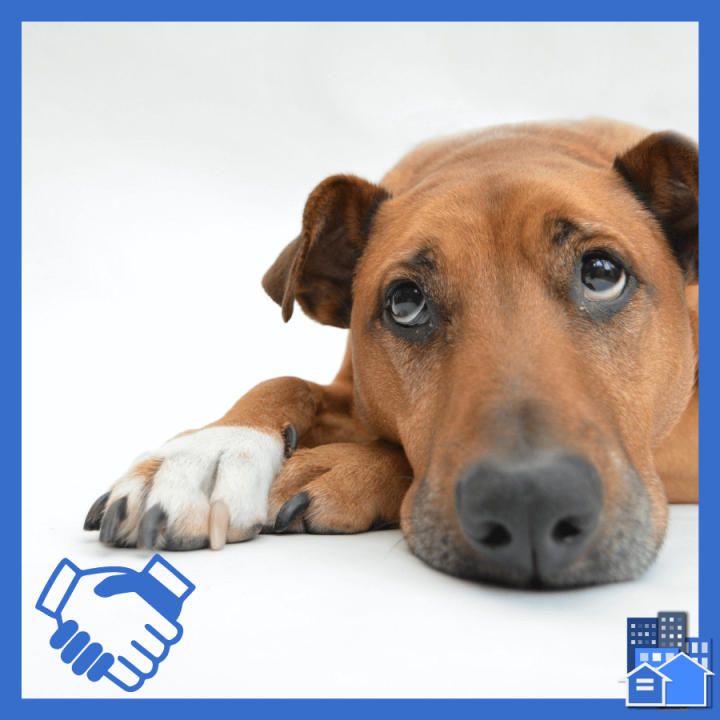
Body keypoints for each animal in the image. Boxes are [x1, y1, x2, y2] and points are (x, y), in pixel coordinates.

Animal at [84, 118, 696, 588]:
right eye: (405, 303)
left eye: (603, 274)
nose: (530, 501)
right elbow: (285, 382)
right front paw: (209, 453)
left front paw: (348, 466)